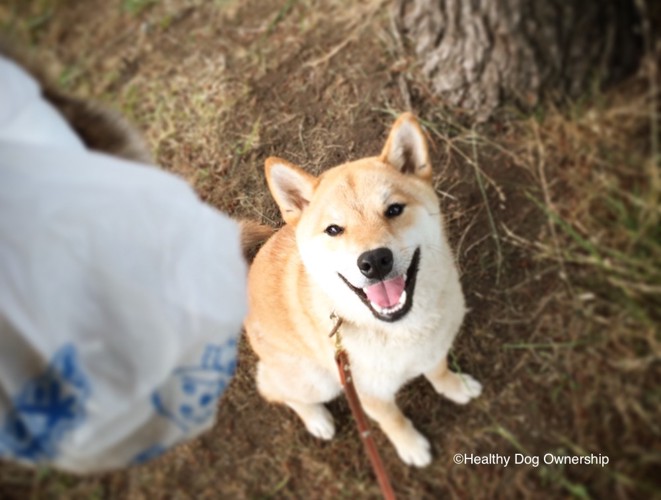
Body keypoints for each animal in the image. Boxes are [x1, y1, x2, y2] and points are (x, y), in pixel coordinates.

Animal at [245, 114, 482, 468]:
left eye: (394, 209)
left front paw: (455, 387)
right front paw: (411, 446)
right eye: (333, 229)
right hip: (318, 379)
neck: (401, 330)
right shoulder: (367, 393)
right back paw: (317, 420)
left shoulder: (434, 350)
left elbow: (439, 373)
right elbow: (392, 420)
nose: (374, 261)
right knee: (274, 389)